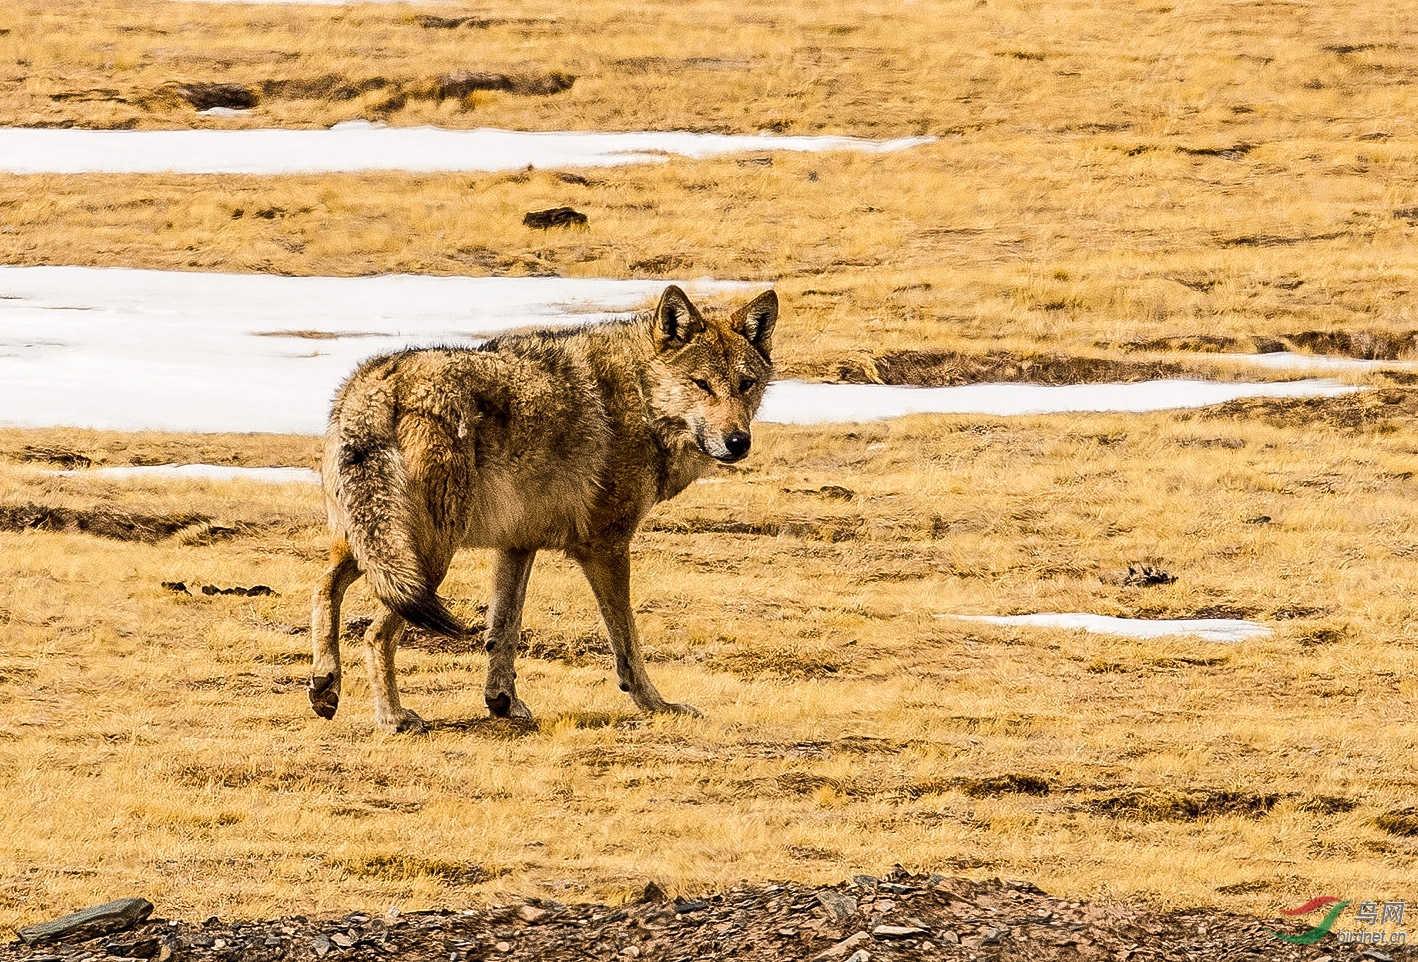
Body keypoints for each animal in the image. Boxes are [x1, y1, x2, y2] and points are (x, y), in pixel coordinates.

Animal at [304, 282, 782, 732]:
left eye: (746, 385)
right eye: (701, 384)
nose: (738, 442)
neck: (642, 399)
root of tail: (375, 388)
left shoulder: (517, 543)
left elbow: (504, 629)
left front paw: (502, 701)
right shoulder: (604, 547)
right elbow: (627, 641)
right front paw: (657, 705)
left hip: (376, 547)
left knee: (324, 587)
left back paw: (324, 685)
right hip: (428, 556)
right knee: (375, 633)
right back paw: (393, 718)